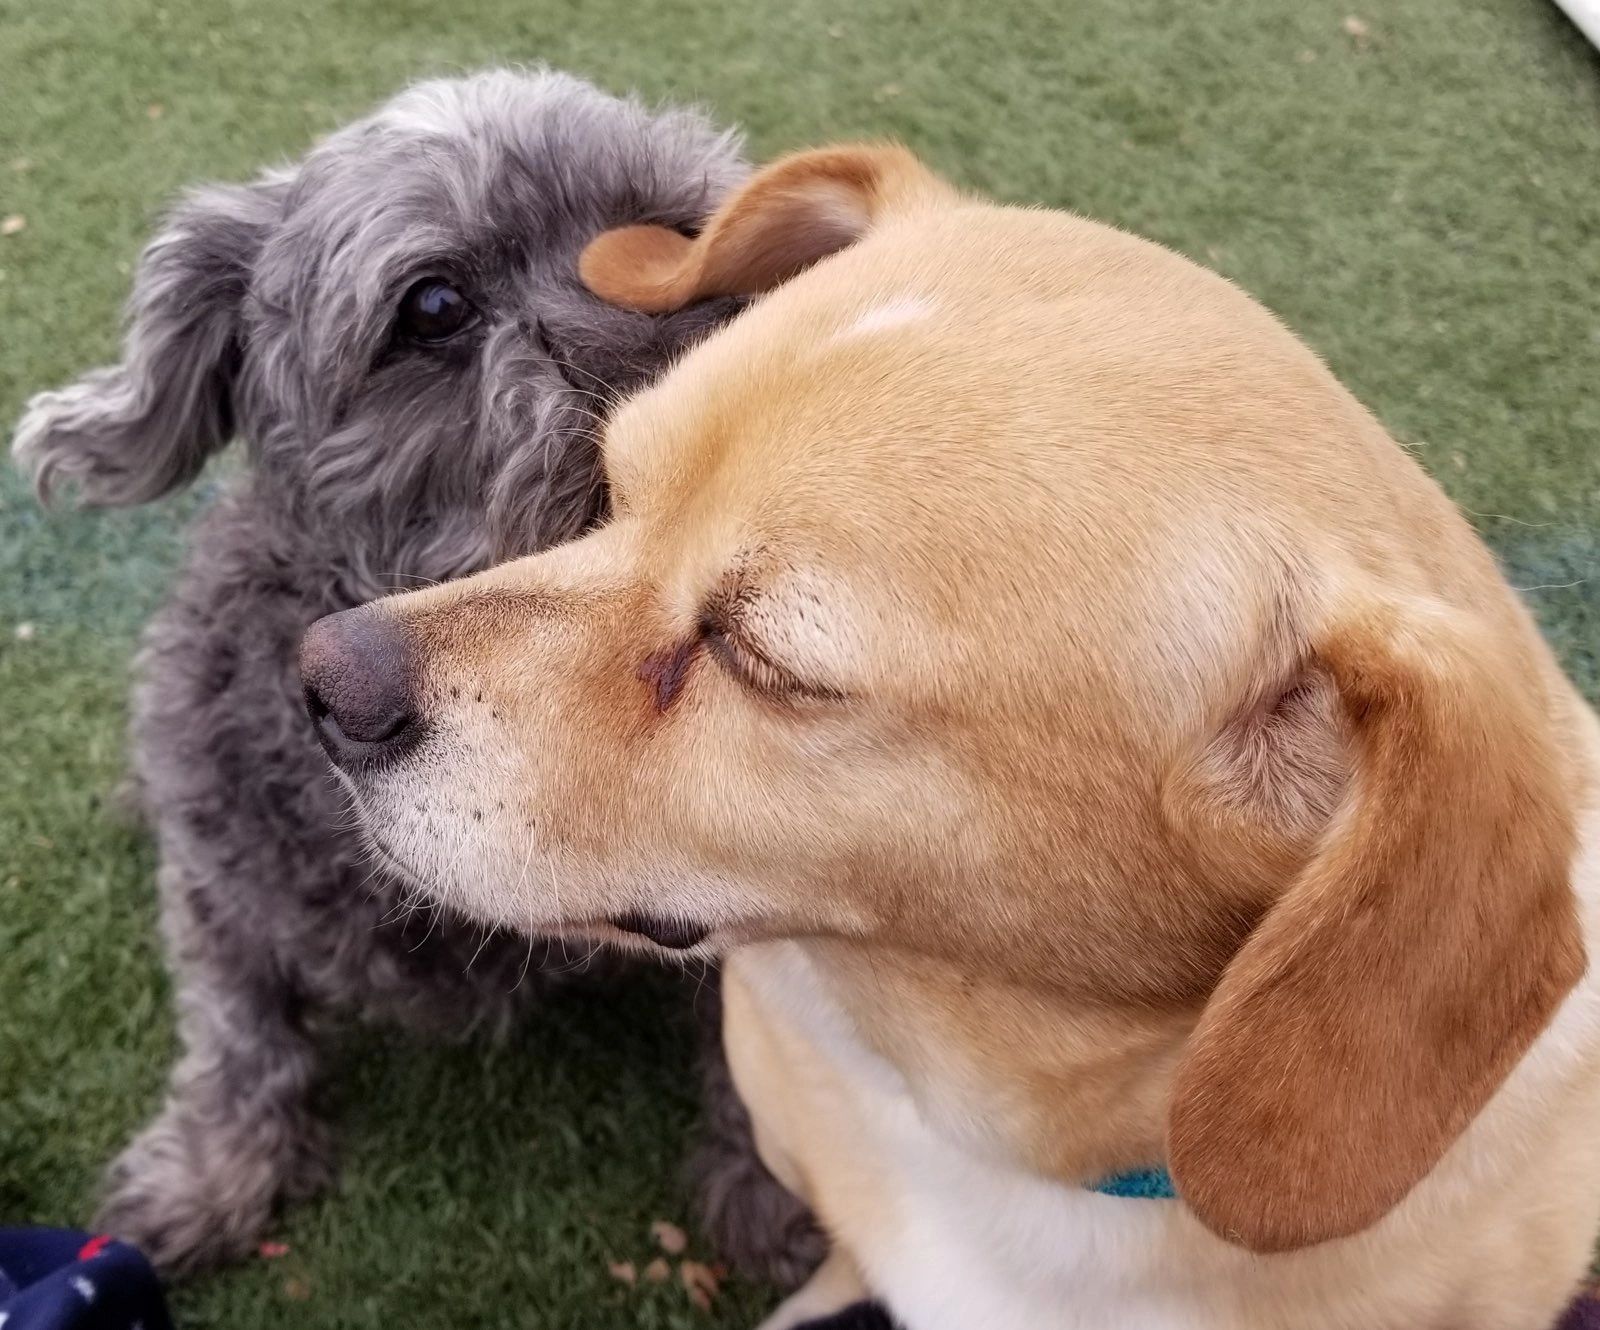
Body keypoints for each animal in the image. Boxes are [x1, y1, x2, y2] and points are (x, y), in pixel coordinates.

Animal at [10, 69, 821, 1280]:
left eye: (684, 236)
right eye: (433, 306)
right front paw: (209, 1174)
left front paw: (787, 1206)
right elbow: (237, 1034)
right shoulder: (218, 880)